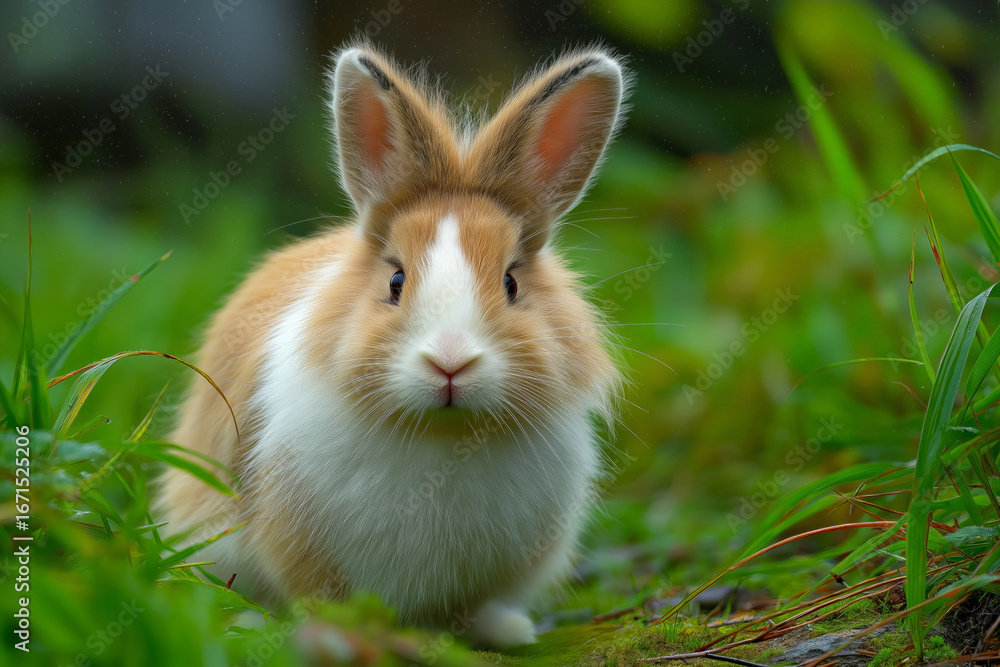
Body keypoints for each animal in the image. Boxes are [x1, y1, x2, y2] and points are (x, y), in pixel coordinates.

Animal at [158, 40, 628, 648]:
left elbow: (474, 606)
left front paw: (506, 631)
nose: (450, 362)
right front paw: (335, 634)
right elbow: (315, 595)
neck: (443, 435)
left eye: (511, 283)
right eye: (396, 281)